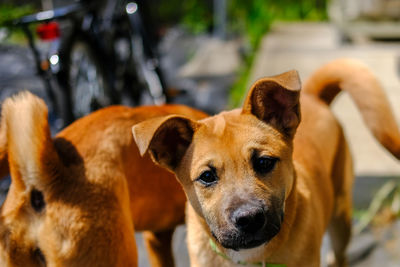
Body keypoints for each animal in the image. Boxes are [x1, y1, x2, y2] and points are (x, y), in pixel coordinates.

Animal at [134, 59, 400, 267]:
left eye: (263, 162)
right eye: (207, 176)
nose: (249, 219)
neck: (249, 258)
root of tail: (312, 95)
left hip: (341, 216)